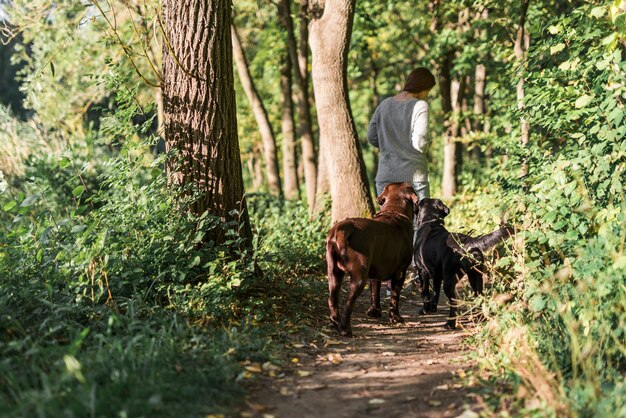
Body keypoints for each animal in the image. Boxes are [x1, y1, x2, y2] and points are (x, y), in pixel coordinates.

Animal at [324, 183, 416, 336]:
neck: (394, 210)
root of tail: (342, 229)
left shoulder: (376, 270)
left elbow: (375, 290)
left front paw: (375, 311)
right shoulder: (400, 272)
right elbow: (395, 296)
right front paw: (395, 317)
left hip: (334, 273)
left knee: (332, 298)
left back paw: (334, 323)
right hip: (359, 277)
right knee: (348, 302)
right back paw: (345, 329)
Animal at [414, 199, 512, 330]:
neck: (430, 221)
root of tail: (468, 242)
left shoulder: (422, 271)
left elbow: (425, 293)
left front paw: (425, 310)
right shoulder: (437, 275)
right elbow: (435, 292)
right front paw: (432, 308)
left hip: (450, 280)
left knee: (454, 302)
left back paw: (450, 324)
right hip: (476, 277)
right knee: (479, 297)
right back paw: (480, 319)